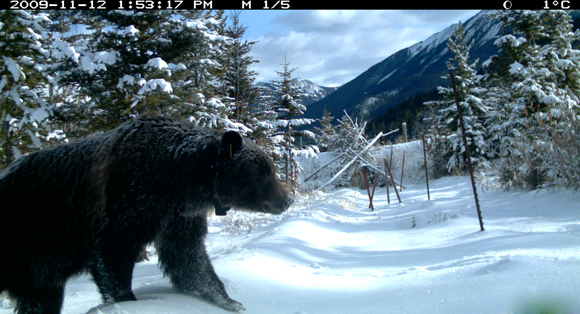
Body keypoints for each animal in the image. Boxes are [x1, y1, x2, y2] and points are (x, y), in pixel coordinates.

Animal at [0, 115, 292, 314]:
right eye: (264, 172)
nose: (287, 199)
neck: (179, 183)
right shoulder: (130, 198)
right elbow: (114, 252)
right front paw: (126, 302)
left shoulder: (179, 218)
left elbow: (189, 258)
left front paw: (228, 300)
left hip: (37, 271)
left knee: (41, 300)